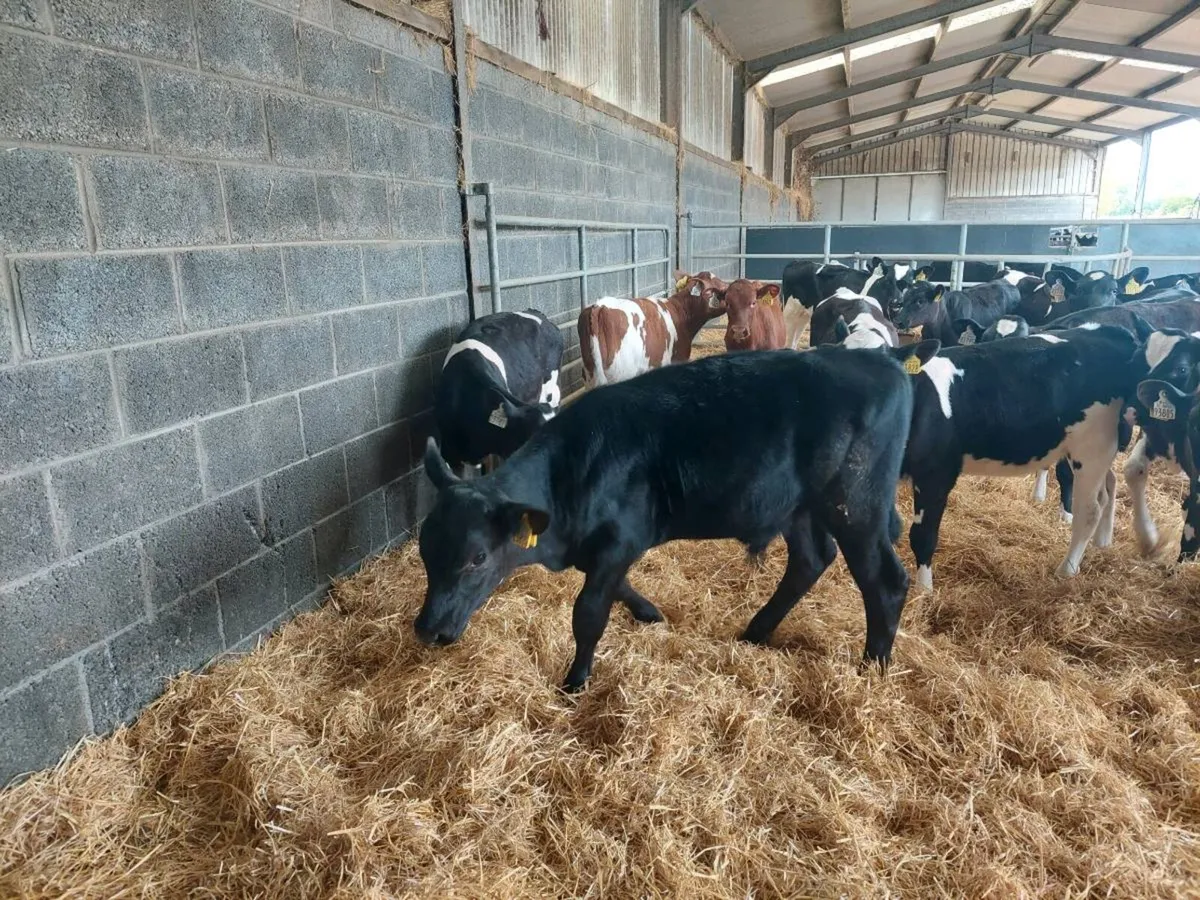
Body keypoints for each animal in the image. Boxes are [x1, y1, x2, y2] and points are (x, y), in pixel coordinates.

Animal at [414, 345, 919, 692]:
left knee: (885, 580)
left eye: (477, 557)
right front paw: (650, 613)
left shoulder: (619, 541)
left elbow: (588, 614)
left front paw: (575, 681)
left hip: (856, 504)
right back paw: (756, 631)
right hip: (798, 506)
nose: (428, 629)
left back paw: (872, 666)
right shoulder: (599, 550)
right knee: (811, 559)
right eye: (424, 552)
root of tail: (879, 360)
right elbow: (619, 589)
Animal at [900, 322, 1153, 592]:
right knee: (1108, 486)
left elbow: (922, 535)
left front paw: (924, 592)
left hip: (1092, 448)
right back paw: (1102, 541)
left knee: (1090, 510)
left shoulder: (936, 473)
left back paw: (1067, 570)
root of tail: (1107, 330)